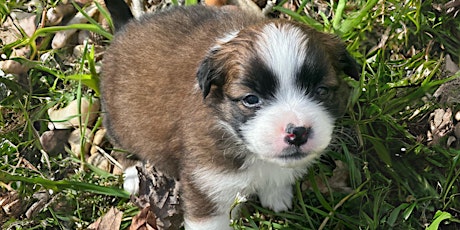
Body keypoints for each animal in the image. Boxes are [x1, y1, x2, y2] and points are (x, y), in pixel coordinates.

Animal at [99, 4, 360, 230]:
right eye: (251, 99)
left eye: (321, 91)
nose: (297, 132)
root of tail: (126, 26)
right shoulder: (206, 184)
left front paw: (276, 194)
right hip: (118, 120)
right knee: (120, 146)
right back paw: (134, 175)